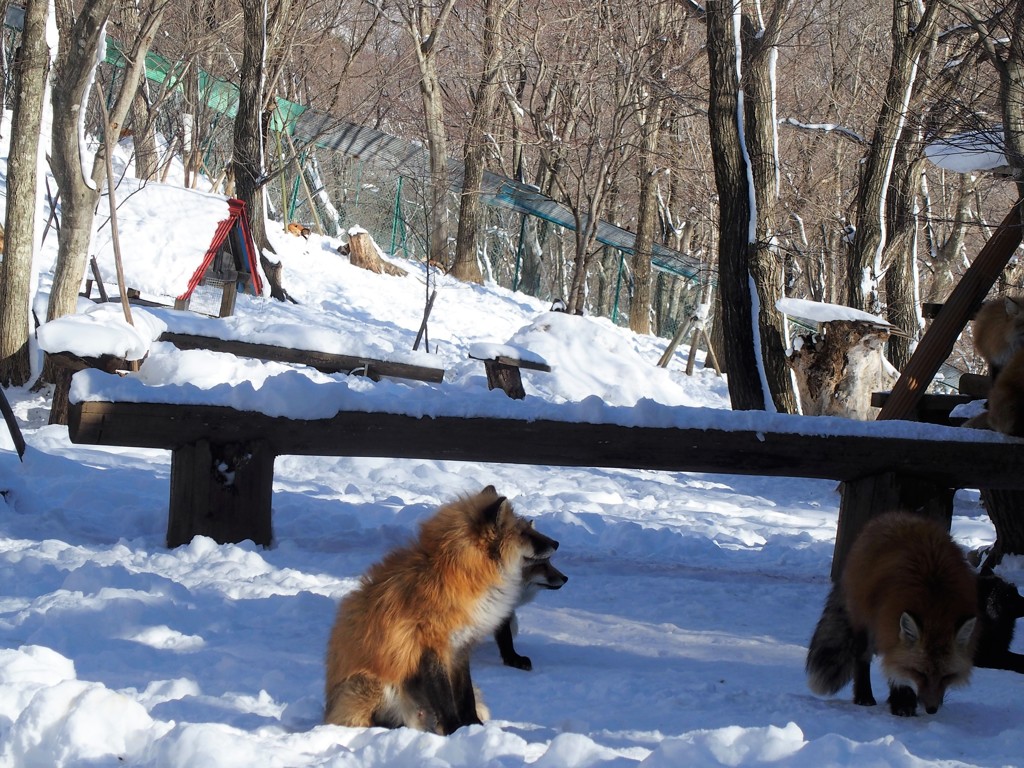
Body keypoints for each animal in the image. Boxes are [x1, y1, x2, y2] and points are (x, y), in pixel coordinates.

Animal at [323, 487, 557, 733]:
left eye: (529, 529)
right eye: (523, 532)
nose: (557, 543)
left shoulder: (460, 648)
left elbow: (464, 696)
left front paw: (472, 727)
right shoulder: (432, 646)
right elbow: (445, 700)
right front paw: (455, 731)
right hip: (372, 685)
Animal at [806, 514, 974, 720]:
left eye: (946, 676)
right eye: (920, 673)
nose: (932, 709)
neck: (935, 599)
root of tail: (893, 516)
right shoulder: (888, 629)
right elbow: (897, 670)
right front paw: (902, 704)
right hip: (864, 624)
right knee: (861, 660)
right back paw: (864, 697)